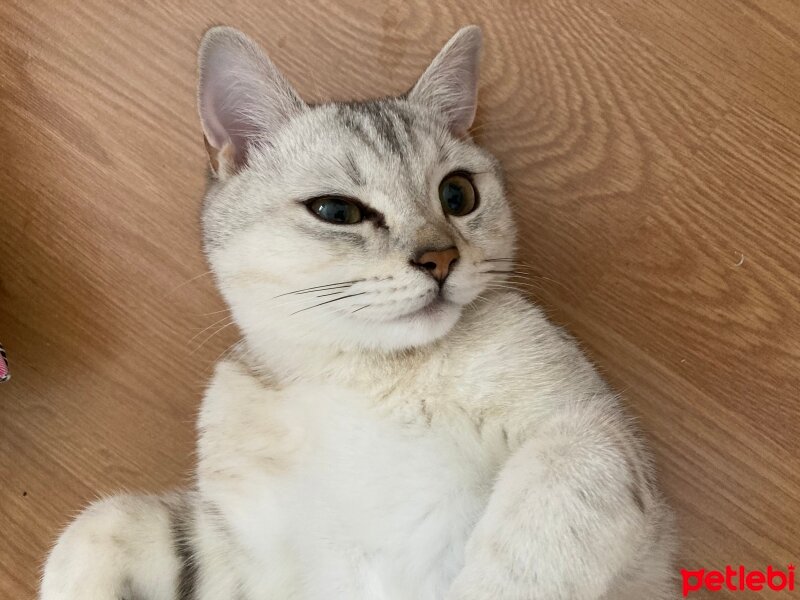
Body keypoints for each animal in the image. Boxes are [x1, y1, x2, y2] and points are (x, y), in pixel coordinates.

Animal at [39, 24, 676, 600]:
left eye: (458, 195)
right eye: (336, 211)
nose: (441, 258)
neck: (366, 376)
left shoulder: (592, 436)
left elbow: (530, 550)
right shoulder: (247, 554)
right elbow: (105, 521)